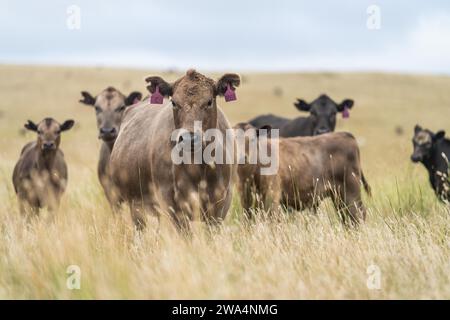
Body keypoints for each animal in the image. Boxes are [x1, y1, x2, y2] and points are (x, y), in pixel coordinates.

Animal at [110, 69, 239, 230]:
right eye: (174, 102)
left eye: (209, 101)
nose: (190, 137)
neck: (198, 168)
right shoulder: (172, 204)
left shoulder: (221, 204)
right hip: (136, 205)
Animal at [232, 122, 370, 225]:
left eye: (252, 139)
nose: (242, 157)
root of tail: (345, 134)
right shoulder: (246, 198)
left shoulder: (272, 196)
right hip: (338, 196)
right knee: (346, 217)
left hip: (351, 192)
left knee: (357, 214)